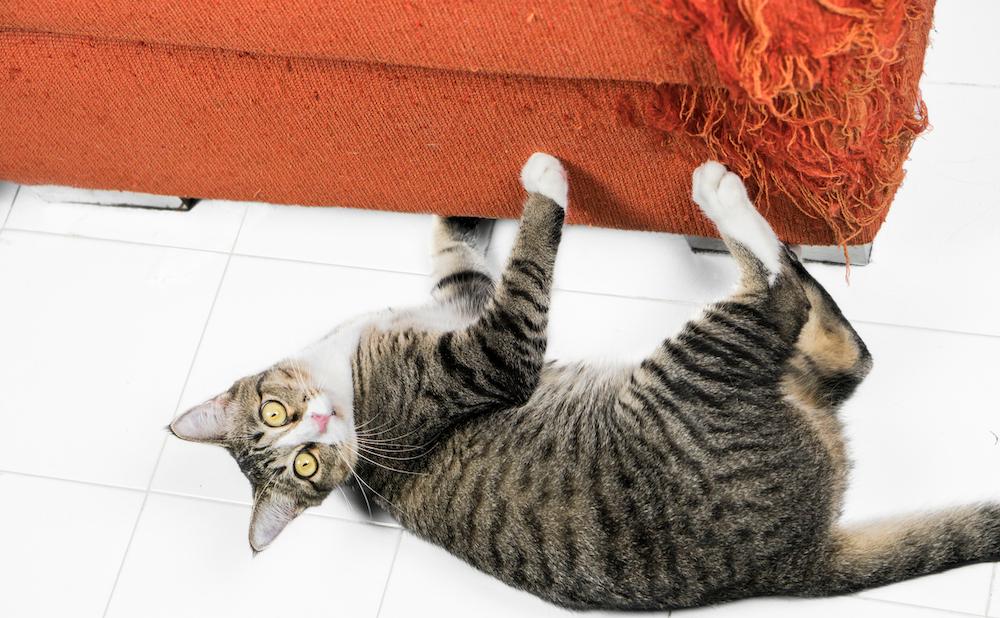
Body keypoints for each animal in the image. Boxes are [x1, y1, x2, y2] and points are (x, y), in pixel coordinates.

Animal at [168, 153, 996, 608]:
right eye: (302, 464)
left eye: (277, 418)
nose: (316, 426)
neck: (349, 375)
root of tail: (794, 560)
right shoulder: (493, 351)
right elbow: (532, 259)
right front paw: (546, 183)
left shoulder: (460, 297)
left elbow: (456, 247)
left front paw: (462, 202)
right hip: (693, 370)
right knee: (792, 307)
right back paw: (723, 196)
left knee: (843, 347)